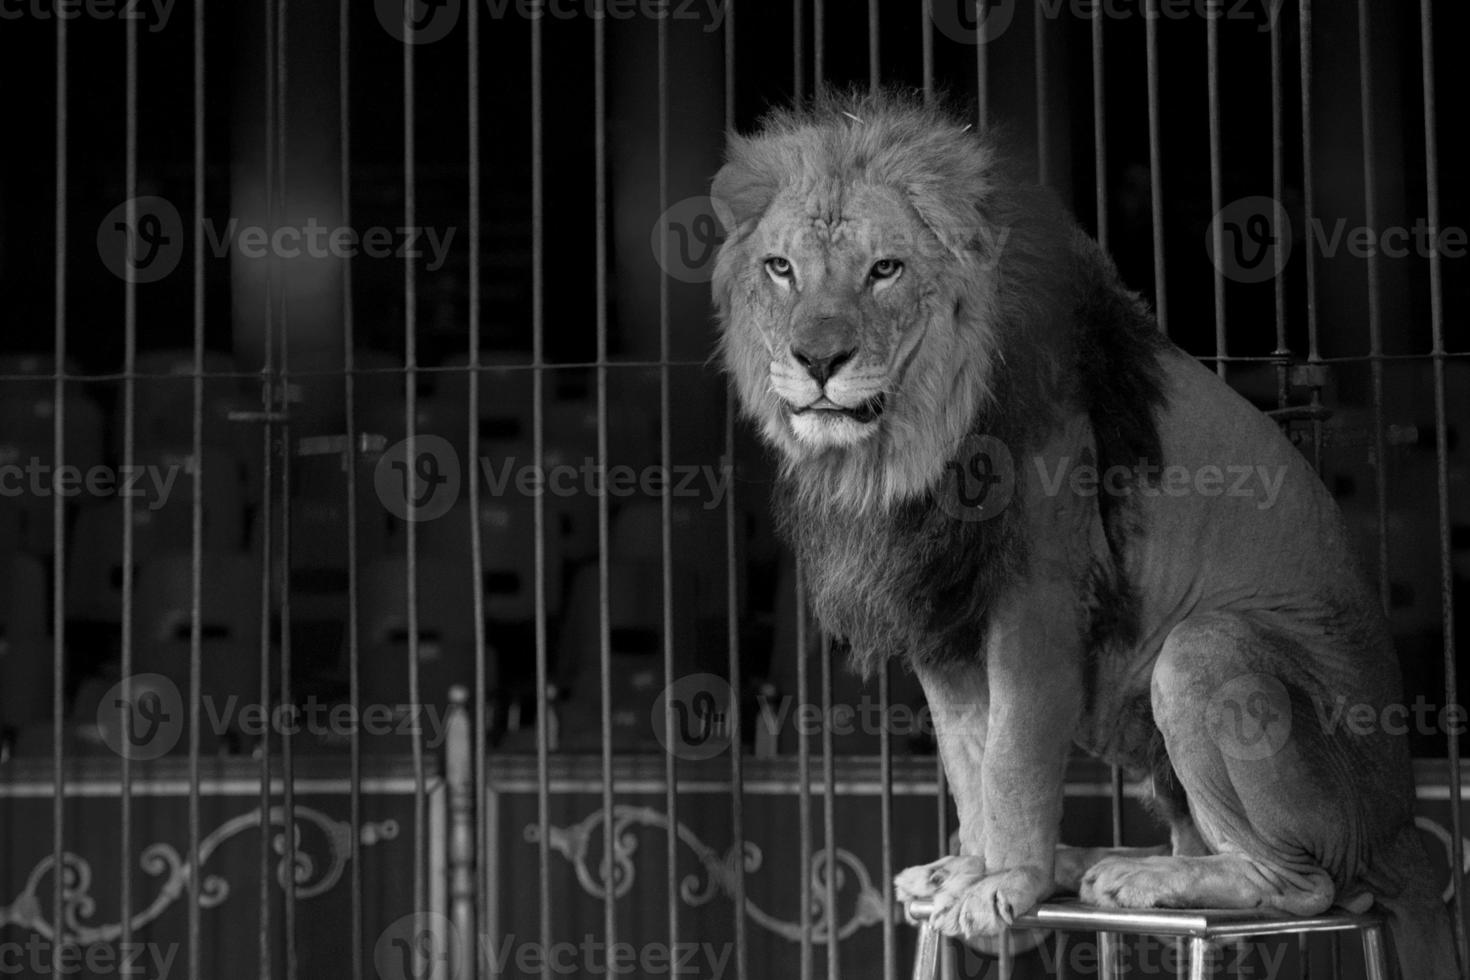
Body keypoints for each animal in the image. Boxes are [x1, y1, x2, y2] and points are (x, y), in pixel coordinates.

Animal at [708, 88, 1458, 975]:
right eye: (780, 269)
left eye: (884, 269)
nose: (817, 360)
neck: (906, 446)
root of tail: (1407, 831)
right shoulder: (941, 616)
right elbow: (966, 756)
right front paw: (978, 870)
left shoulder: (1038, 597)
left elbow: (1011, 756)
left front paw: (1005, 889)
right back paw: (1090, 862)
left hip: (1208, 654)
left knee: (1304, 883)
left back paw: (1145, 880)